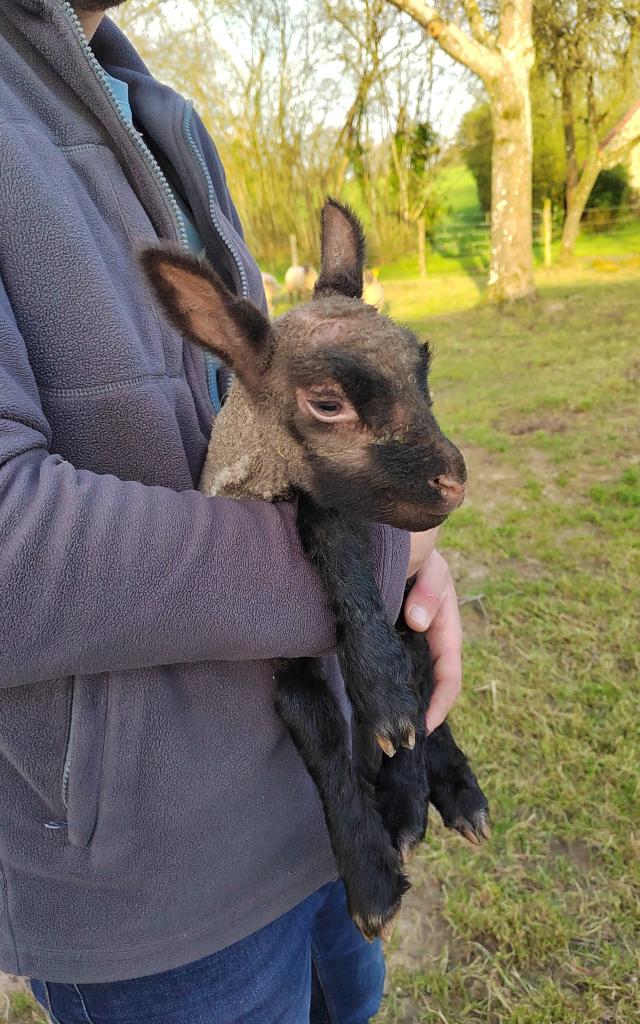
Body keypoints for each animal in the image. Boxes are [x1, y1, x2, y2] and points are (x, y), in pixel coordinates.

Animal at [141, 199, 489, 942]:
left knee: (425, 671)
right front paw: (372, 879)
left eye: (423, 371)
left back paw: (445, 794)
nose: (454, 482)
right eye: (328, 402)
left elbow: (333, 531)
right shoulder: (283, 663)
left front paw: (389, 720)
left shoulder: (380, 571)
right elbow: (318, 727)